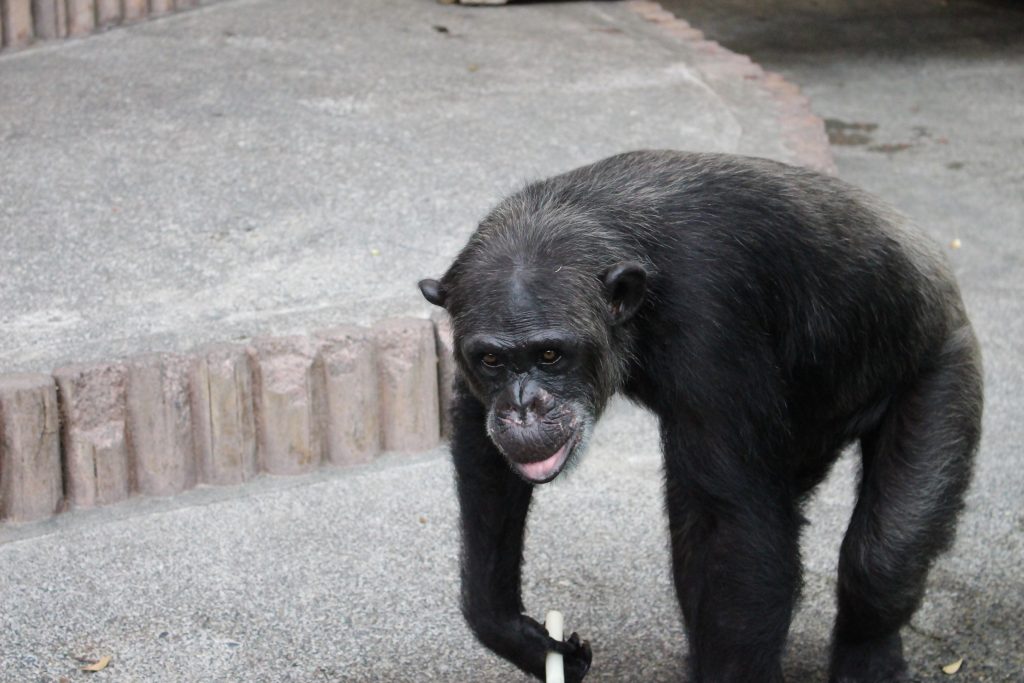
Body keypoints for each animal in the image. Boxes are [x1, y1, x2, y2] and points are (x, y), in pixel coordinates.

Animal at [418, 150, 983, 682]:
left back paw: (870, 658)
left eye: (550, 355)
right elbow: (484, 455)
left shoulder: (711, 316)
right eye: (492, 360)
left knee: (882, 557)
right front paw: (514, 633)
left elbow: (732, 525)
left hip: (944, 366)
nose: (522, 406)